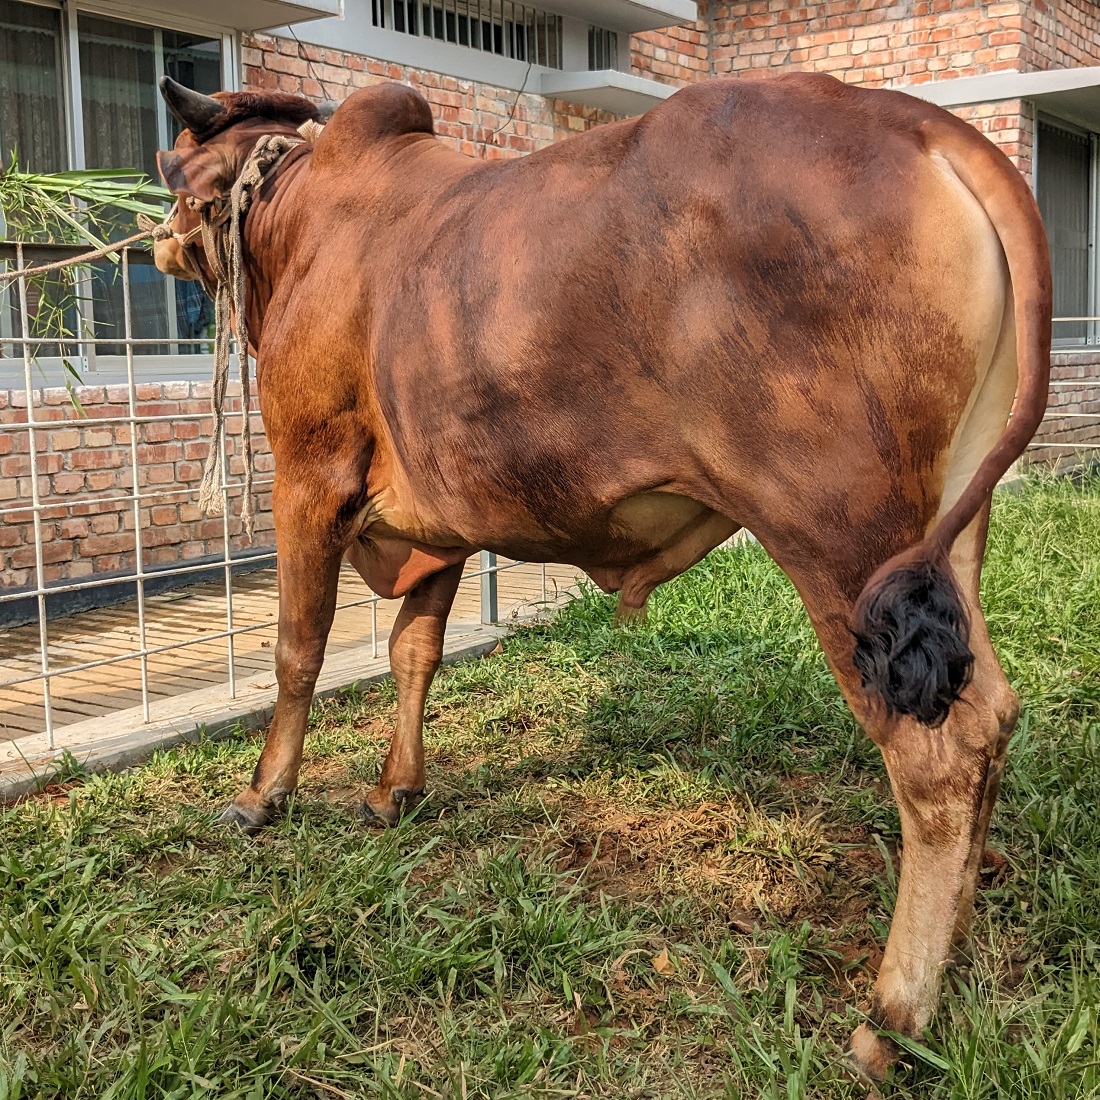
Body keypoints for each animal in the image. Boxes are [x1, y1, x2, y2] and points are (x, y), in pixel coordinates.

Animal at [152, 73, 1047, 1078]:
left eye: (176, 165)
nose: (155, 235)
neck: (300, 213)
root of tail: (917, 122)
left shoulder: (308, 477)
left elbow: (297, 650)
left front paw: (262, 795)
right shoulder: (438, 524)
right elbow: (413, 652)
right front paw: (394, 791)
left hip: (845, 548)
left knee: (939, 753)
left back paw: (891, 1017)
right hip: (949, 539)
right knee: (992, 712)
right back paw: (965, 921)